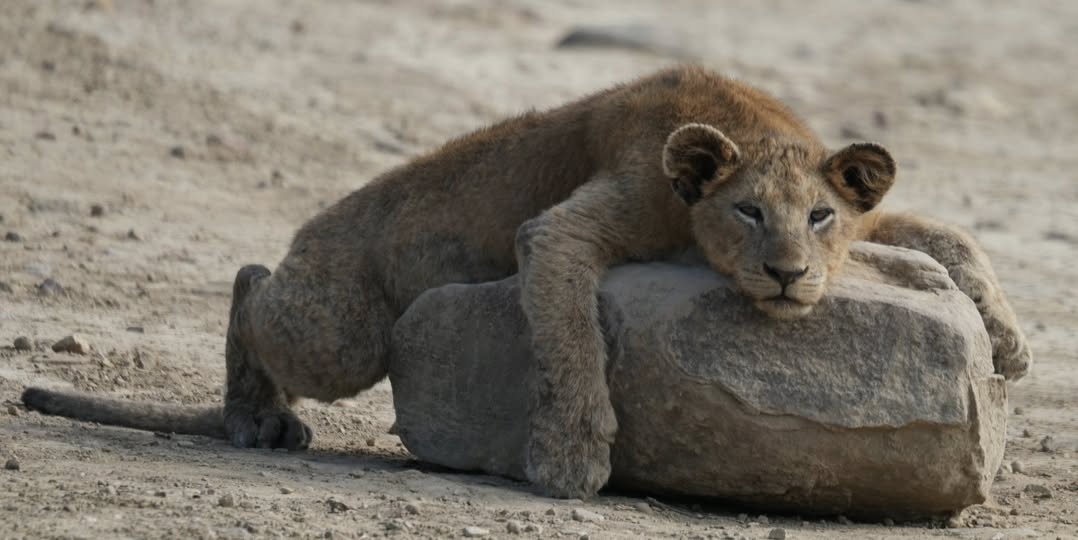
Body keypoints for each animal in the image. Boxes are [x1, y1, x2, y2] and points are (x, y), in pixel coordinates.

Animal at [22, 66, 1031, 499]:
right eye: (748, 212)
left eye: (818, 217)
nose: (787, 276)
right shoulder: (560, 228)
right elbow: (571, 341)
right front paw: (572, 459)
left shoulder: (866, 220)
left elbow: (943, 228)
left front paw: (1009, 338)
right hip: (341, 334)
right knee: (247, 278)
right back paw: (252, 418)